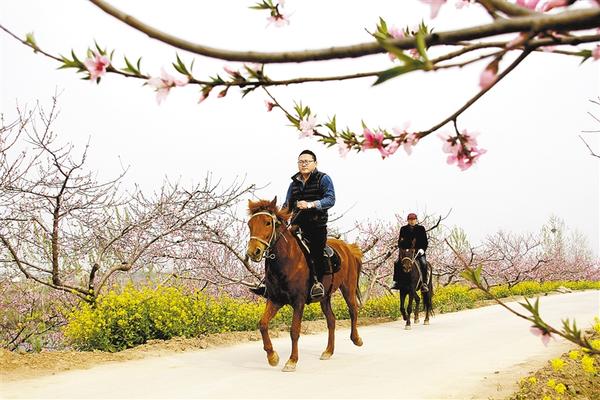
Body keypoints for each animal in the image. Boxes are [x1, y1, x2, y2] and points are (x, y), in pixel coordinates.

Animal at [246, 197, 364, 372]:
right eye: (250, 224)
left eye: (267, 223)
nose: (254, 252)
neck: (286, 260)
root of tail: (348, 248)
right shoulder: (275, 300)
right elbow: (263, 324)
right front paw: (272, 357)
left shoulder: (298, 302)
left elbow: (294, 331)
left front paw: (292, 361)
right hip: (325, 297)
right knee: (331, 320)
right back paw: (328, 351)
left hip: (348, 288)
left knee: (353, 311)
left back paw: (356, 339)